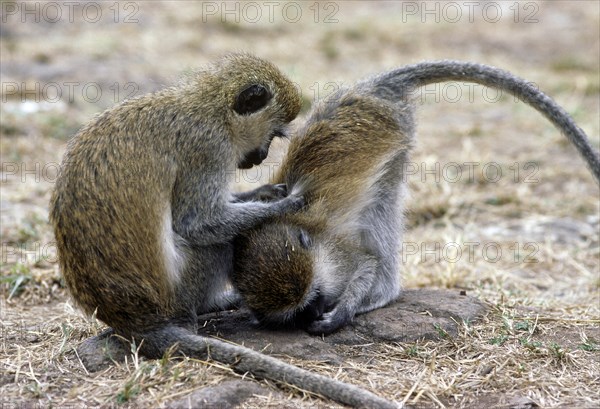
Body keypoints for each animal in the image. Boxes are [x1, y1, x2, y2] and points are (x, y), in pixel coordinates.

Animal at [50, 54, 398, 408]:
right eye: (274, 133)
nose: (261, 156)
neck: (209, 106)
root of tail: (132, 320)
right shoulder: (209, 148)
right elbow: (198, 222)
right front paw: (285, 204)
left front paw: (263, 192)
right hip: (180, 291)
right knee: (215, 242)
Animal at [231, 61, 600, 334]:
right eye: (301, 310)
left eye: (313, 299)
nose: (316, 311)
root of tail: (372, 88)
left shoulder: (338, 256)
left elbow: (367, 262)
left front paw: (343, 312)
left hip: (397, 132)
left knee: (383, 203)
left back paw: (382, 293)